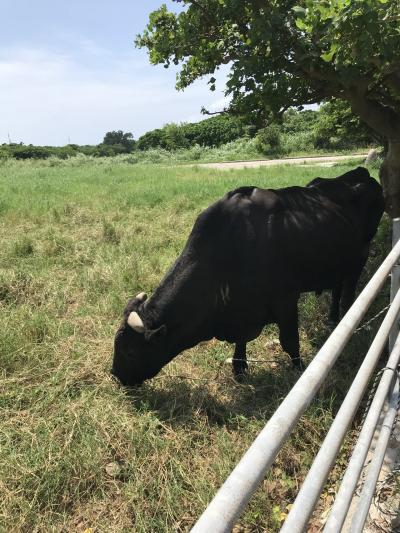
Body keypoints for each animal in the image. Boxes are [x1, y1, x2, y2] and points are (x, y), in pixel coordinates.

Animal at [112, 167, 384, 386]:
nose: (115, 375)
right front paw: (240, 368)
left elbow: (290, 341)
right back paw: (333, 318)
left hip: (359, 257)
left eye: (130, 353)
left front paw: (300, 370)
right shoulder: (242, 310)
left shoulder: (286, 299)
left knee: (349, 291)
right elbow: (241, 342)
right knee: (337, 288)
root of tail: (361, 173)